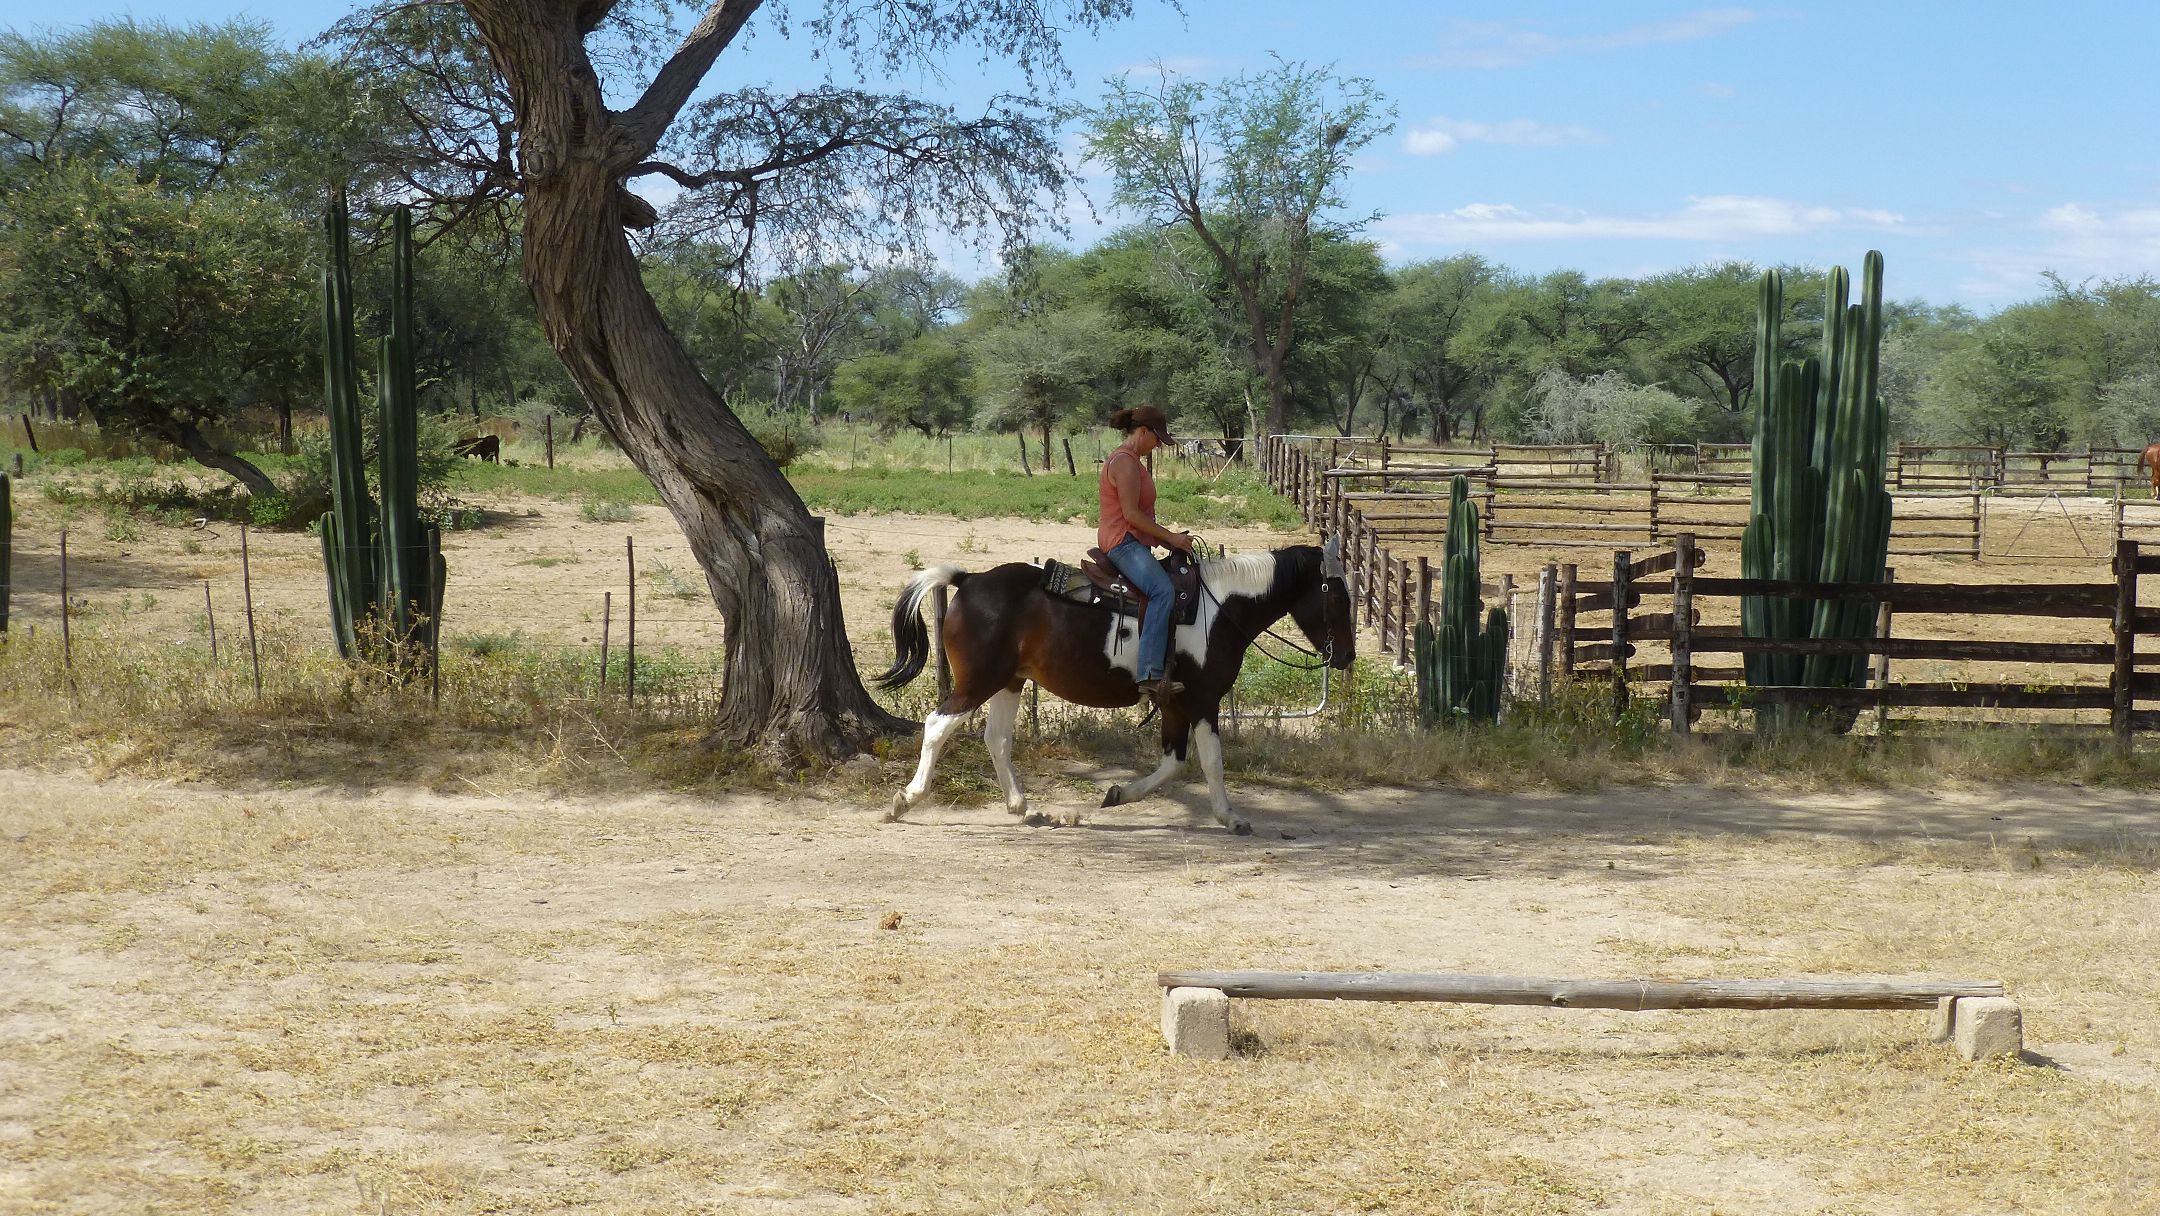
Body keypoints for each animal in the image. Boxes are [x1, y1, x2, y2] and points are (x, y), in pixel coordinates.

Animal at [872, 542, 1347, 838]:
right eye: (1338, 596)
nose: (1345, 656)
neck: (1217, 611)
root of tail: (969, 580)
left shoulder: (1174, 702)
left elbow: (1174, 762)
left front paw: (1118, 794)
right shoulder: (1203, 700)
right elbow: (1211, 762)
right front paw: (1231, 818)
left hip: (1010, 681)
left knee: (998, 739)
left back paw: (1024, 808)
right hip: (979, 681)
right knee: (937, 726)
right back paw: (904, 800)